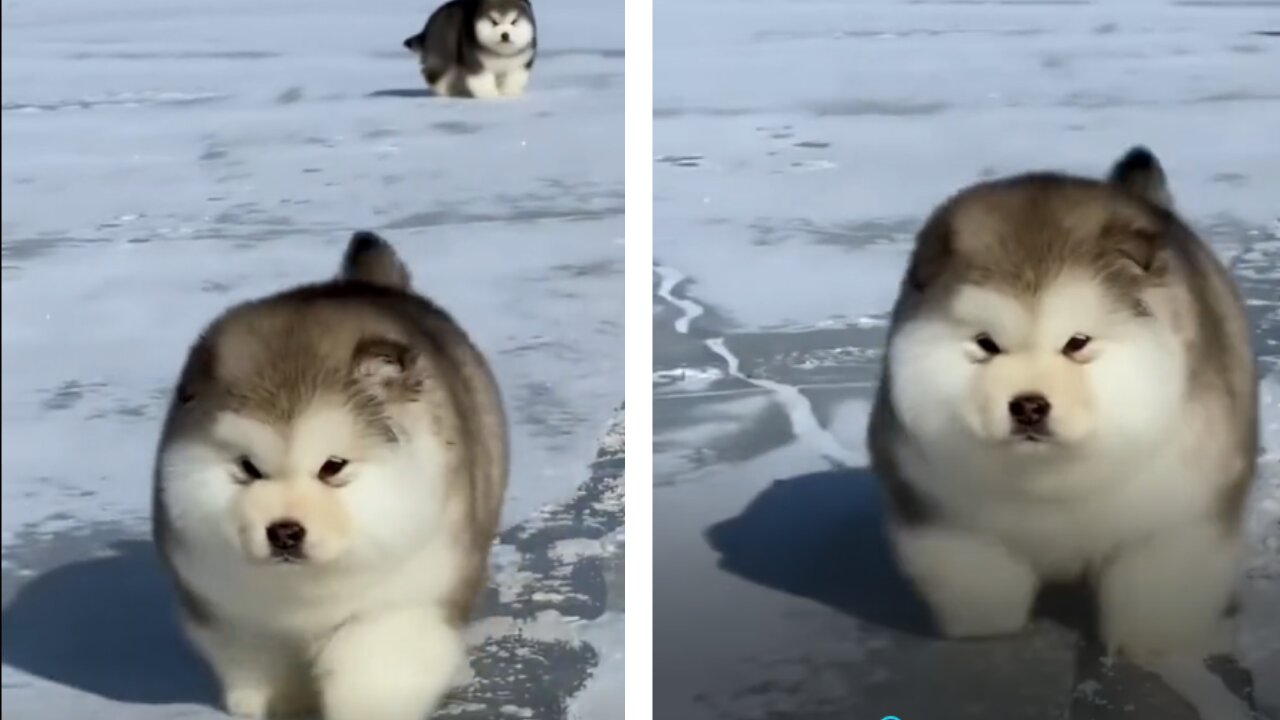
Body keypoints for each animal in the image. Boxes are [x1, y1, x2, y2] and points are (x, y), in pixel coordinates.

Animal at [152, 230, 506, 717]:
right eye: (248, 467)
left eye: (332, 467)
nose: (284, 532)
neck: (306, 594)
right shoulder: (233, 616)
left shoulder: (402, 603)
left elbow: (374, 673)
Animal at [404, 0, 535, 98]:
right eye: (494, 21)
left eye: (514, 21)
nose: (505, 35)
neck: (499, 54)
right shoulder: (475, 61)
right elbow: (482, 80)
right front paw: (490, 95)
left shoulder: (519, 64)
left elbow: (514, 79)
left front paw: (508, 94)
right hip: (443, 53)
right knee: (434, 74)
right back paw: (446, 92)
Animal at [865, 146, 1254, 661]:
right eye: (986, 344)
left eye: (1077, 342)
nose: (1029, 406)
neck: (1052, 481)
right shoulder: (946, 517)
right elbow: (977, 580)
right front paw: (986, 631)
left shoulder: (1174, 519)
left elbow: (1155, 588)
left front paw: (1147, 642)